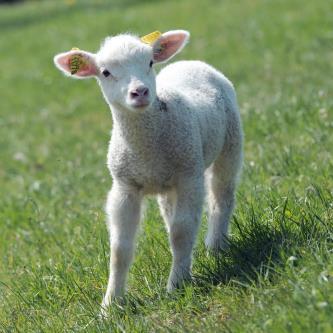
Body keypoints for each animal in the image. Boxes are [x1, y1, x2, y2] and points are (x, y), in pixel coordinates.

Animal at [53, 29, 241, 310]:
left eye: (150, 62)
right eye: (105, 72)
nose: (140, 92)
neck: (147, 147)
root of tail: (189, 62)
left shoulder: (189, 176)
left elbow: (182, 232)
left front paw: (177, 285)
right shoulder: (125, 187)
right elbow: (120, 248)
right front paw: (111, 304)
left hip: (230, 141)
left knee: (222, 196)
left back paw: (215, 247)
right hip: (169, 182)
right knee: (170, 214)